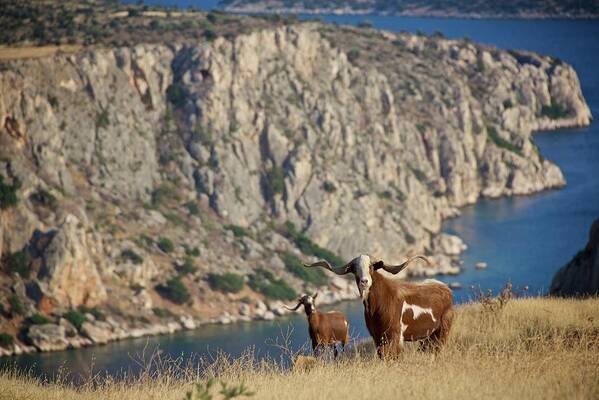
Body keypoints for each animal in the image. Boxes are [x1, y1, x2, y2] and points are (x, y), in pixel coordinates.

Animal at [304, 256, 454, 360]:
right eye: (354, 269)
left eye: (371, 267)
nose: (364, 281)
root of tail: (445, 289)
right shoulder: (377, 336)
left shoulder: (395, 336)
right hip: (428, 336)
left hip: (443, 329)